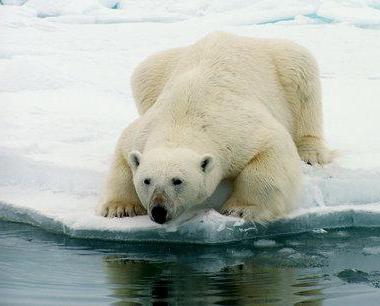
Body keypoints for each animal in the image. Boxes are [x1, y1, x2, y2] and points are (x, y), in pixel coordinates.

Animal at [98, 32, 332, 225]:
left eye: (177, 181)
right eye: (147, 180)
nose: (158, 210)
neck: (183, 121)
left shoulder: (237, 129)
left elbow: (271, 146)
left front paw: (241, 209)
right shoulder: (144, 131)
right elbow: (123, 155)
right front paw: (120, 208)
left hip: (281, 63)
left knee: (302, 73)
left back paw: (312, 153)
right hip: (160, 68)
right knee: (144, 73)